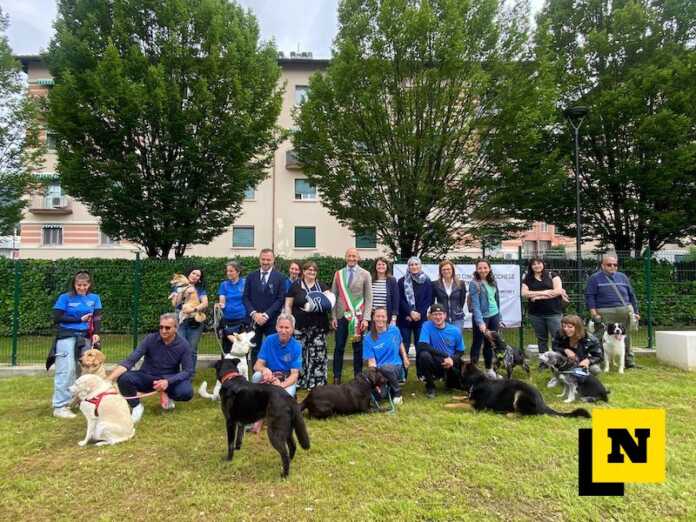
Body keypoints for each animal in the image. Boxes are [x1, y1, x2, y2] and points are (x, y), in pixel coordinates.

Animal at [448, 362, 588, 418]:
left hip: (520, 394)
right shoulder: (471, 397)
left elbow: (462, 404)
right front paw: (454, 397)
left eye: (461, 365)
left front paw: (449, 405)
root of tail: (542, 403)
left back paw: (510, 414)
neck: (477, 381)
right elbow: (464, 398)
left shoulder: (477, 408)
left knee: (528, 414)